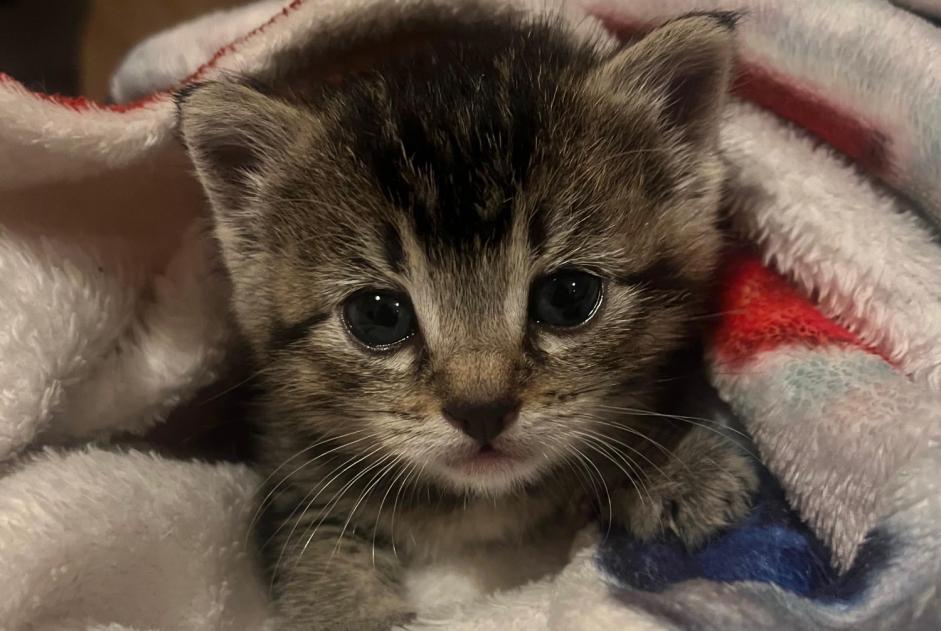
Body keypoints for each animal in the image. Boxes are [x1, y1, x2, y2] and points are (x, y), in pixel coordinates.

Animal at [178, 6, 756, 631]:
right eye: (378, 317)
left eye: (568, 298)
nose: (481, 410)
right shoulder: (293, 467)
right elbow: (316, 542)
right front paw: (345, 608)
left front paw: (670, 463)